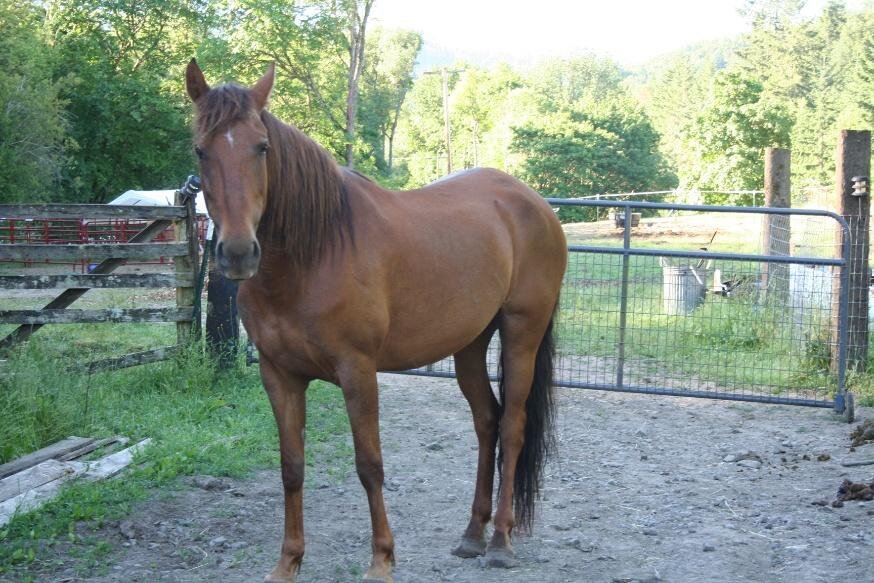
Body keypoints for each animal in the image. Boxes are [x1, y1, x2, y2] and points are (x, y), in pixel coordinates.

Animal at [185, 59, 567, 583]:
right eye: (200, 150)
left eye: (261, 147)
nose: (239, 253)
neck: (315, 252)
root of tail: (535, 204)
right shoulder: (278, 374)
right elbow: (291, 467)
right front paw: (288, 562)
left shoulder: (358, 372)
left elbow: (369, 465)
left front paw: (382, 559)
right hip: (470, 343)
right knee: (486, 422)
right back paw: (472, 534)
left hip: (521, 333)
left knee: (511, 427)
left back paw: (501, 543)